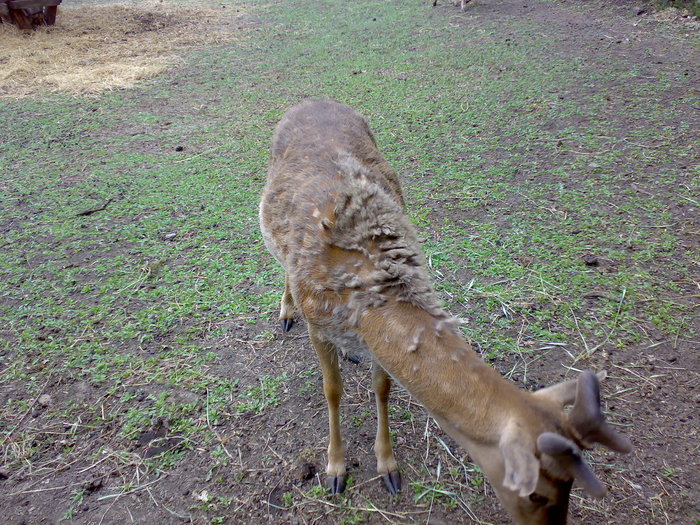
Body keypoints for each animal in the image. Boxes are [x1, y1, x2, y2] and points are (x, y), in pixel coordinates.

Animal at [260, 99, 632, 524]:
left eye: (572, 483)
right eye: (535, 492)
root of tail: (311, 100)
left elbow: (383, 387)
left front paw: (388, 467)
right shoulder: (319, 325)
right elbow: (332, 390)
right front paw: (336, 470)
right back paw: (286, 311)